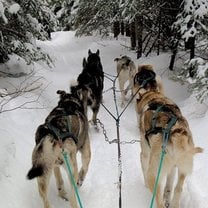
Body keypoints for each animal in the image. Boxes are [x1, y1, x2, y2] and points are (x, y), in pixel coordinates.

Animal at [134, 64, 202, 207]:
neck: (154, 96)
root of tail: (175, 133)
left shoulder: (144, 154)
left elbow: (143, 168)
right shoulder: (173, 168)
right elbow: (170, 185)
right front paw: (167, 196)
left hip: (154, 175)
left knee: (158, 197)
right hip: (182, 168)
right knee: (178, 188)